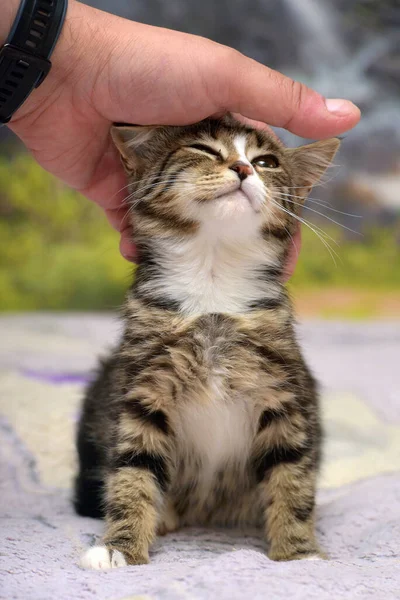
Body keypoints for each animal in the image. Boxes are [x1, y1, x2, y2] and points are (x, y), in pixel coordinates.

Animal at [74, 115, 338, 568]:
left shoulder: (285, 393)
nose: (244, 168)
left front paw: (297, 553)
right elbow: (133, 470)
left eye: (266, 162)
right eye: (204, 149)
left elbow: (292, 476)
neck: (213, 281)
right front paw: (119, 546)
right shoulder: (142, 388)